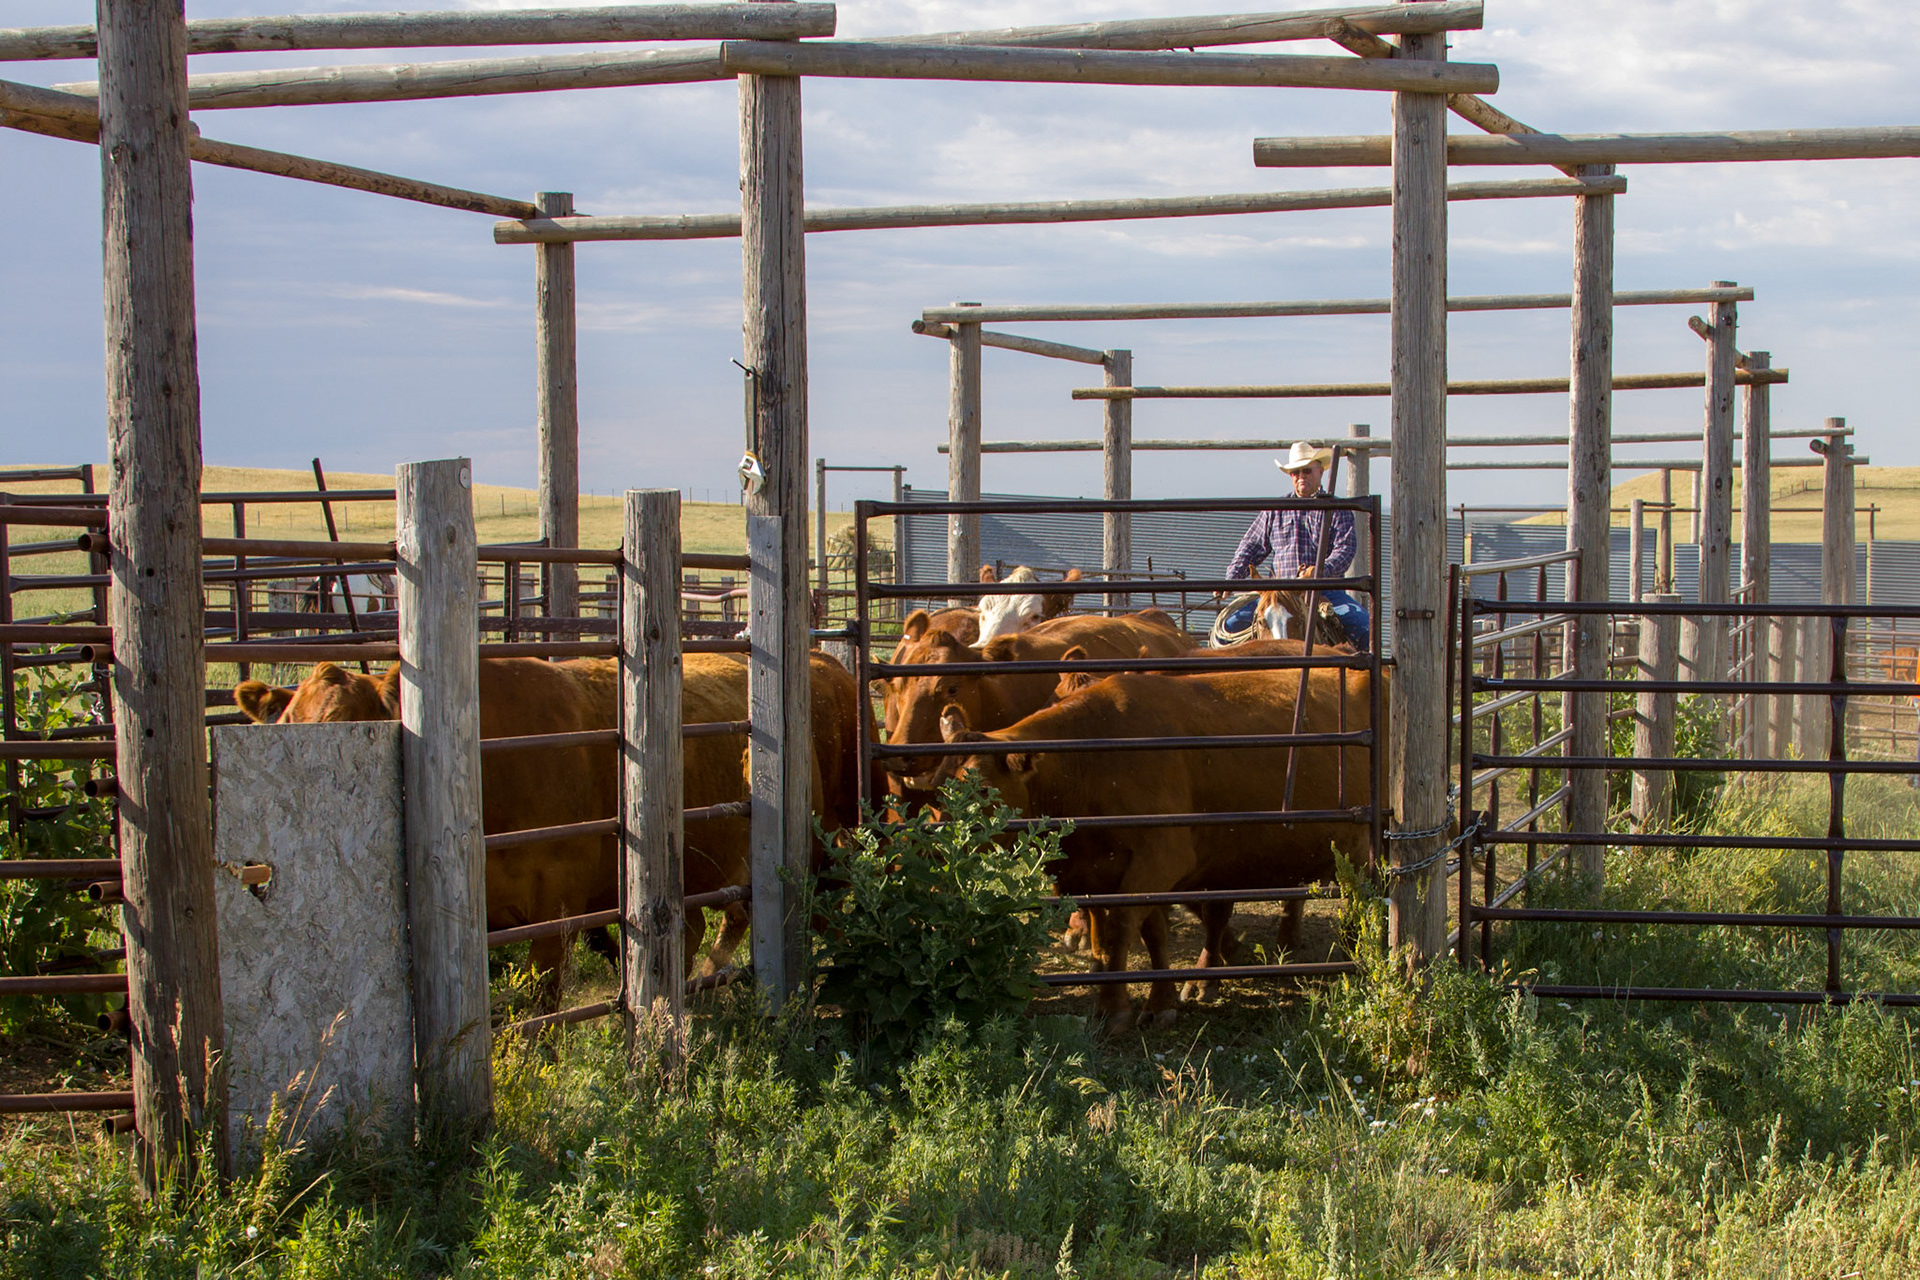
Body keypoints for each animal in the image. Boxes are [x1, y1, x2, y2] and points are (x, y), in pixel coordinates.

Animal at [938, 664, 1375, 1028]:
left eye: (982, 788)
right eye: (939, 787)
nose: (945, 847)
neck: (1092, 761)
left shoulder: (1160, 860)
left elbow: (1121, 931)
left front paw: (1115, 1008)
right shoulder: (1096, 874)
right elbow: (1125, 935)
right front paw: (1149, 996)